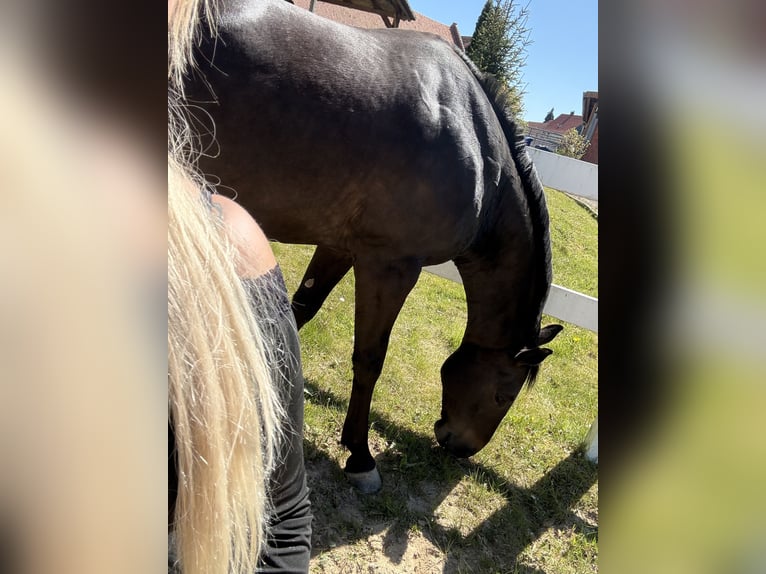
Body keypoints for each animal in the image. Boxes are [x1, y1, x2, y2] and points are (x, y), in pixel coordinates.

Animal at [184, 0, 563, 493]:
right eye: (503, 393)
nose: (460, 446)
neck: (477, 148)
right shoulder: (391, 266)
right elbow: (369, 358)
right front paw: (360, 456)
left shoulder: (341, 247)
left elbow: (300, 311)